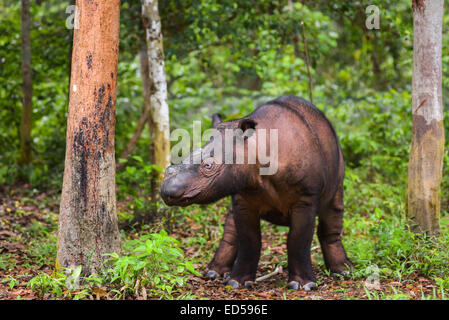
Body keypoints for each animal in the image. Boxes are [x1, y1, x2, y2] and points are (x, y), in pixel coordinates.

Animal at [159, 94, 352, 290]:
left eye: (208, 166)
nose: (166, 190)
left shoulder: (306, 197)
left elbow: (299, 239)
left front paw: (304, 285)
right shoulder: (243, 196)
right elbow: (249, 239)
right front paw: (237, 282)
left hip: (339, 163)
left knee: (334, 206)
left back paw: (344, 272)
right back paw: (213, 273)